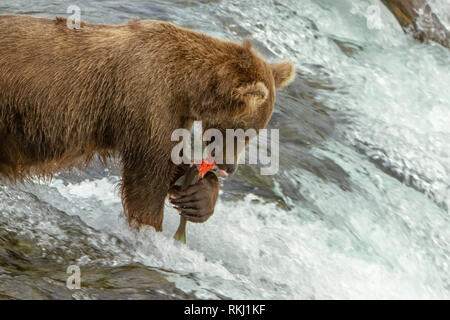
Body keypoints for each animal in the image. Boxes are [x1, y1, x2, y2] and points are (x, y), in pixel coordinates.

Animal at [0, 14, 296, 230]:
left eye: (253, 134)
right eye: (245, 132)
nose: (229, 166)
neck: (187, 88)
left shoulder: (172, 116)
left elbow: (171, 164)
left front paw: (199, 198)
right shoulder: (148, 102)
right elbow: (148, 180)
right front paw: (149, 228)